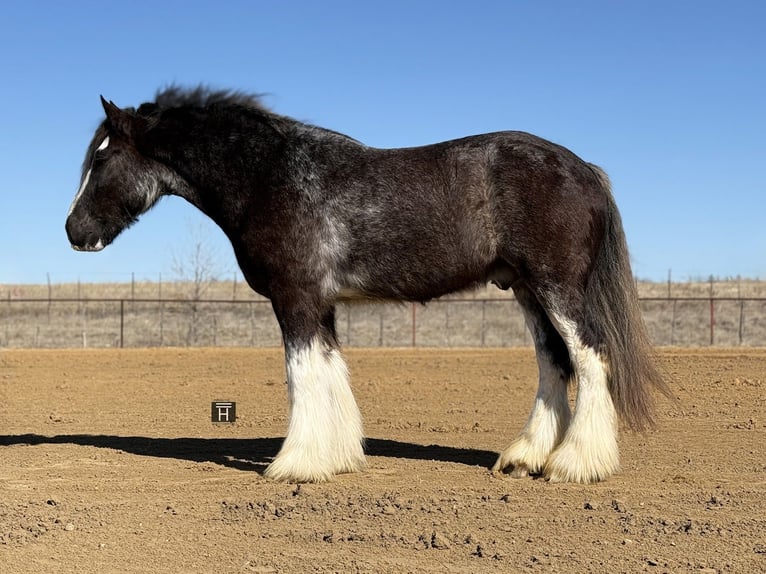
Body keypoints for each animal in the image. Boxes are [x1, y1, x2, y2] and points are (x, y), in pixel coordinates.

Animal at [65, 86, 667, 484]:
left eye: (104, 160)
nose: (74, 231)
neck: (271, 176)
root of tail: (585, 169)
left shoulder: (296, 298)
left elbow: (301, 375)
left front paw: (294, 465)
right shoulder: (322, 304)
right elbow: (330, 372)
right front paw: (335, 457)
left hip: (557, 288)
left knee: (591, 357)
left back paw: (576, 465)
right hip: (526, 291)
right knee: (554, 364)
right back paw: (523, 459)